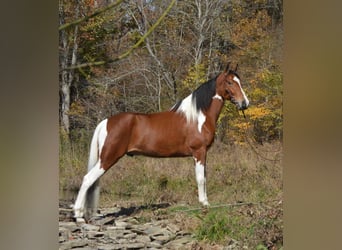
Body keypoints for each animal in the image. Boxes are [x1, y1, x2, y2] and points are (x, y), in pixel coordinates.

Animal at [73, 62, 248, 223]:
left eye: (240, 81)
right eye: (230, 82)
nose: (245, 103)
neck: (198, 116)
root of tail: (106, 121)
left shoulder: (202, 154)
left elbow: (204, 177)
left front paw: (204, 201)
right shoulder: (199, 152)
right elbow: (200, 178)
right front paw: (204, 204)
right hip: (108, 158)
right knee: (87, 179)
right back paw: (78, 215)